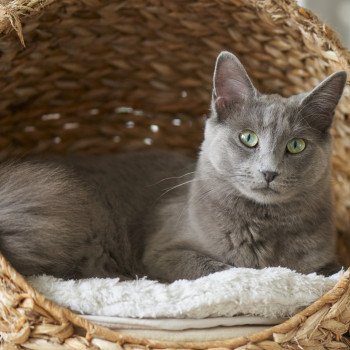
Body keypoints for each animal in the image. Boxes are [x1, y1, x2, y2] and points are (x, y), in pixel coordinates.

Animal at [0, 52, 346, 282]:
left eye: (296, 145)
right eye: (248, 138)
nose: (269, 172)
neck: (263, 223)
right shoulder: (163, 253)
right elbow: (223, 270)